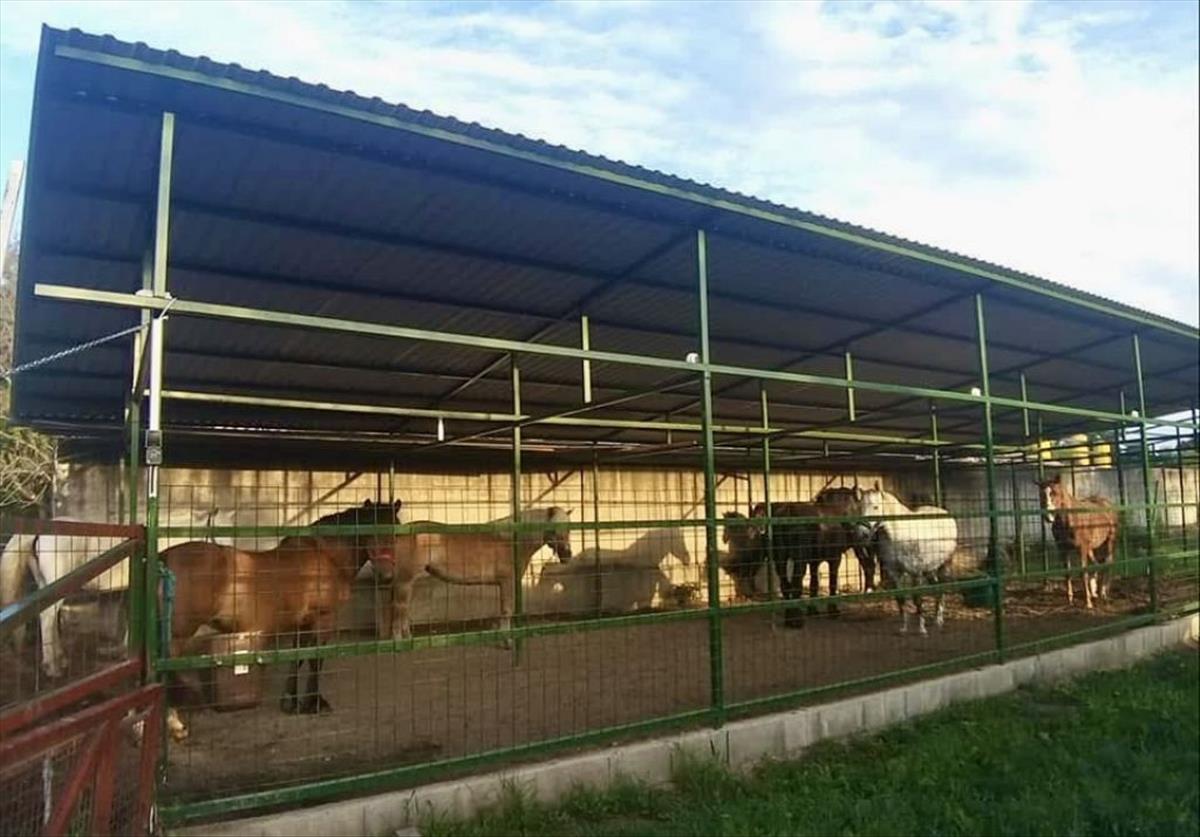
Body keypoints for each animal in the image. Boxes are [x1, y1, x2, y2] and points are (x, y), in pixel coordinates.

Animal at [161, 499, 401, 741]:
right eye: (373, 530)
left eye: (396, 531)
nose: (387, 576)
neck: (326, 557)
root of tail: (164, 558)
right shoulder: (323, 619)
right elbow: (315, 660)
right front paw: (315, 703)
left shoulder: (301, 623)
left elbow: (298, 658)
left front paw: (291, 703)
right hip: (177, 636)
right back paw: (175, 726)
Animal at [387, 507, 573, 642]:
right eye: (553, 528)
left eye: (570, 529)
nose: (567, 556)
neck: (511, 541)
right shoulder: (507, 582)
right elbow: (506, 610)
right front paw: (507, 641)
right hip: (404, 581)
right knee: (398, 609)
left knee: (404, 609)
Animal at [859, 485, 958, 636]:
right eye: (860, 507)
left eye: (875, 507)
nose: (861, 532)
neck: (900, 536)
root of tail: (945, 513)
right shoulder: (894, 573)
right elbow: (900, 599)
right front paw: (904, 628)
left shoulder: (915, 572)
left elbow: (917, 599)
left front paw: (922, 629)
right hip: (929, 569)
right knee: (936, 587)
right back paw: (936, 619)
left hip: (945, 564)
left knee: (941, 588)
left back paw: (939, 621)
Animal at [1035, 475, 1118, 609]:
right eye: (1041, 494)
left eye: (1055, 493)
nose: (1048, 517)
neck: (1069, 520)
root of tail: (1107, 502)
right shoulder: (1063, 549)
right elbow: (1067, 573)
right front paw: (1070, 601)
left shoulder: (1081, 548)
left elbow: (1083, 573)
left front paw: (1088, 603)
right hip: (1091, 548)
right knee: (1097, 563)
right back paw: (1095, 592)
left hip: (1109, 542)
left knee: (1108, 562)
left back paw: (1104, 593)